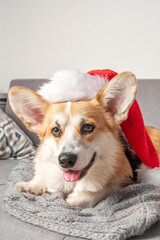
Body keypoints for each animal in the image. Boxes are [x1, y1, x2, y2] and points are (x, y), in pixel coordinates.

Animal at [8, 70, 160, 207]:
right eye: (55, 130)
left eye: (88, 127)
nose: (65, 160)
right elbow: (42, 173)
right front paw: (31, 184)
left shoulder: (124, 180)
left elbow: (105, 189)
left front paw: (81, 197)